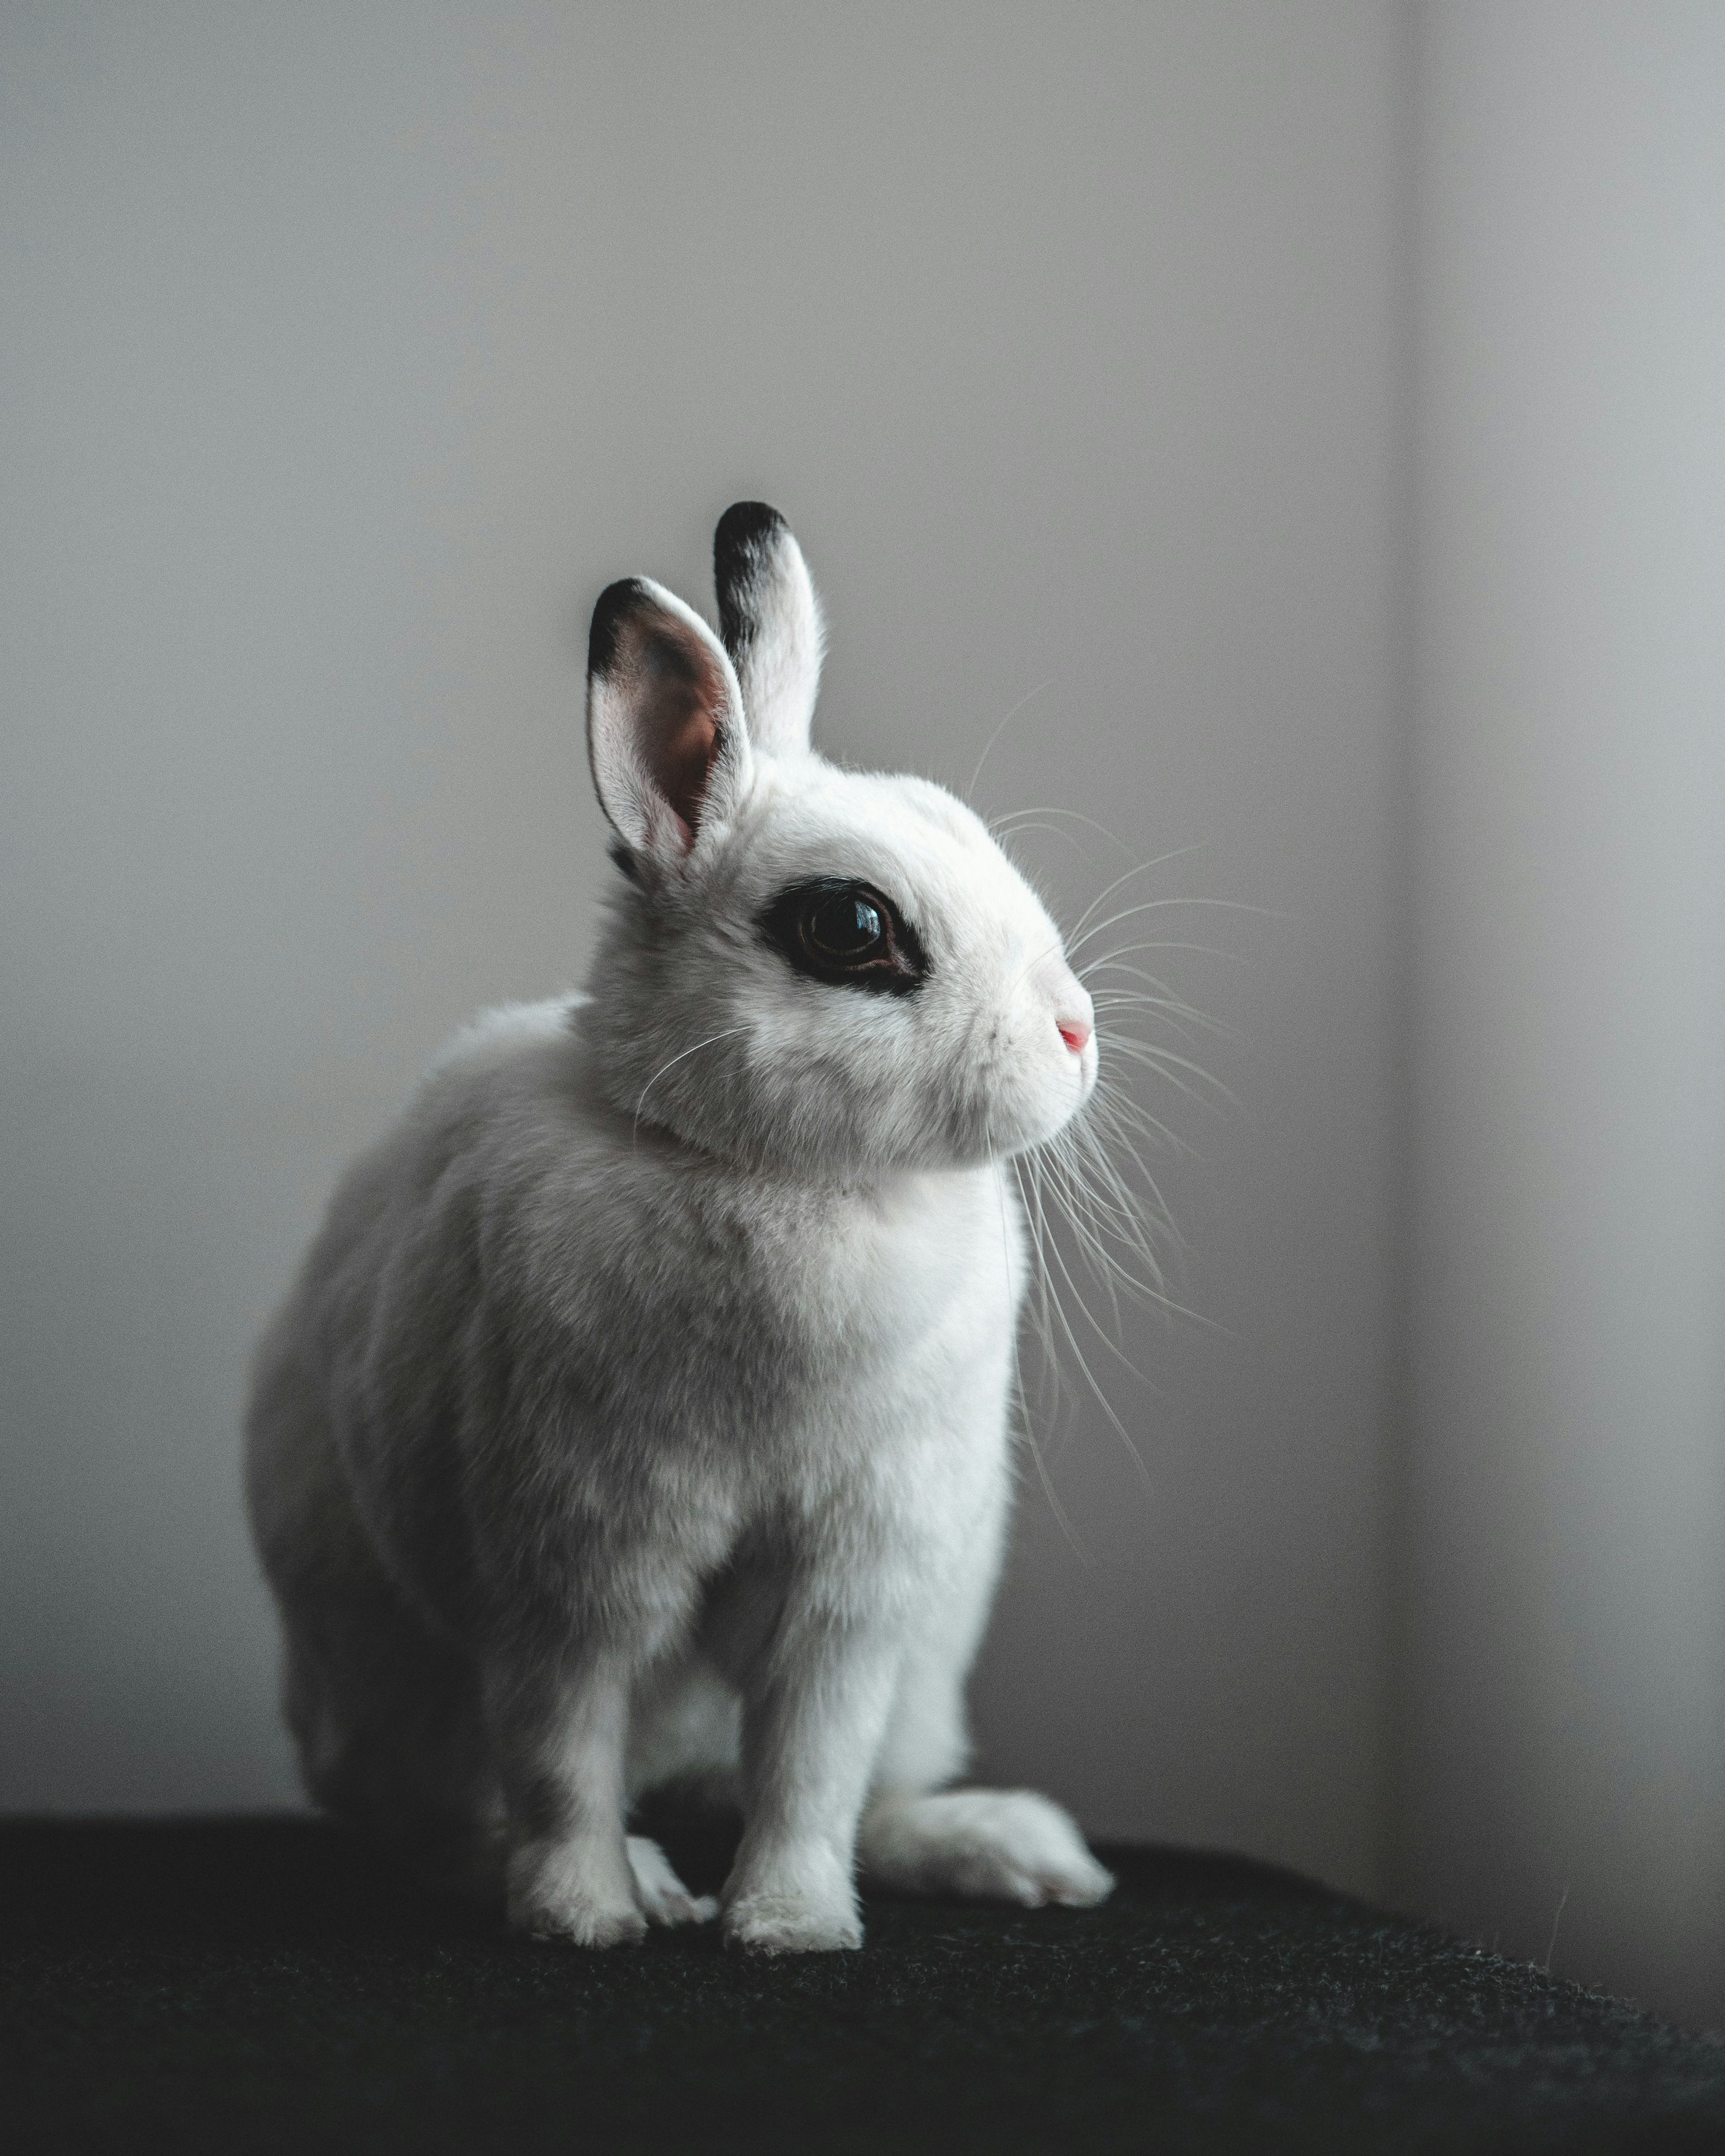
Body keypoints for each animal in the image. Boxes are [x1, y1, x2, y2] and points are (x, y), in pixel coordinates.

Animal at [246, 501, 1115, 1954]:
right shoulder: (572, 1563)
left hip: (927, 1669)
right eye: (854, 924)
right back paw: (632, 1877)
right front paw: (585, 1918)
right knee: (436, 1818)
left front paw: (790, 1926)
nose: (1074, 1033)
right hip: (395, 1689)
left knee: (870, 1785)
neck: (773, 1172)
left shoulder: (854, 1590)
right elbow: (562, 1753)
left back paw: (1013, 1851)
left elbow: (811, 1765)